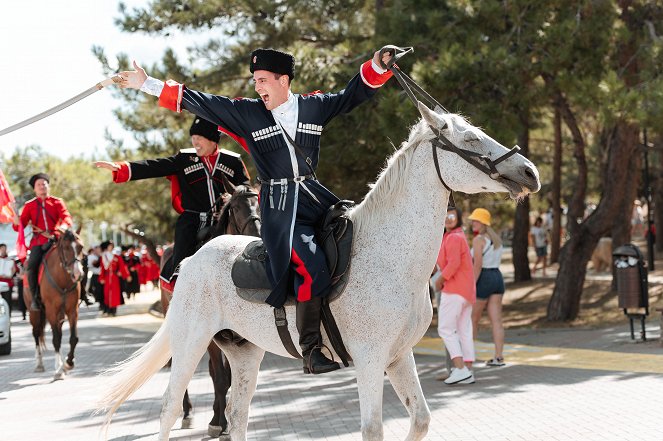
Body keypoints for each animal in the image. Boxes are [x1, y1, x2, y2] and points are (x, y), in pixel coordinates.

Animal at [24, 230, 84, 378]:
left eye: (81, 247)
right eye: (66, 247)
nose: (78, 274)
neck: (62, 279)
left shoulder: (72, 310)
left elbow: (73, 338)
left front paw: (68, 363)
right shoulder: (51, 310)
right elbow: (56, 339)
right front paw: (58, 369)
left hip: (59, 315)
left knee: (59, 333)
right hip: (34, 313)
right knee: (36, 333)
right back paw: (39, 364)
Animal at [161, 182, 262, 436]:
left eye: (260, 202)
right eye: (235, 207)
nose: (256, 233)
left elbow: (227, 377)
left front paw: (221, 419)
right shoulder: (213, 337)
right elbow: (220, 377)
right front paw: (218, 422)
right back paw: (187, 411)